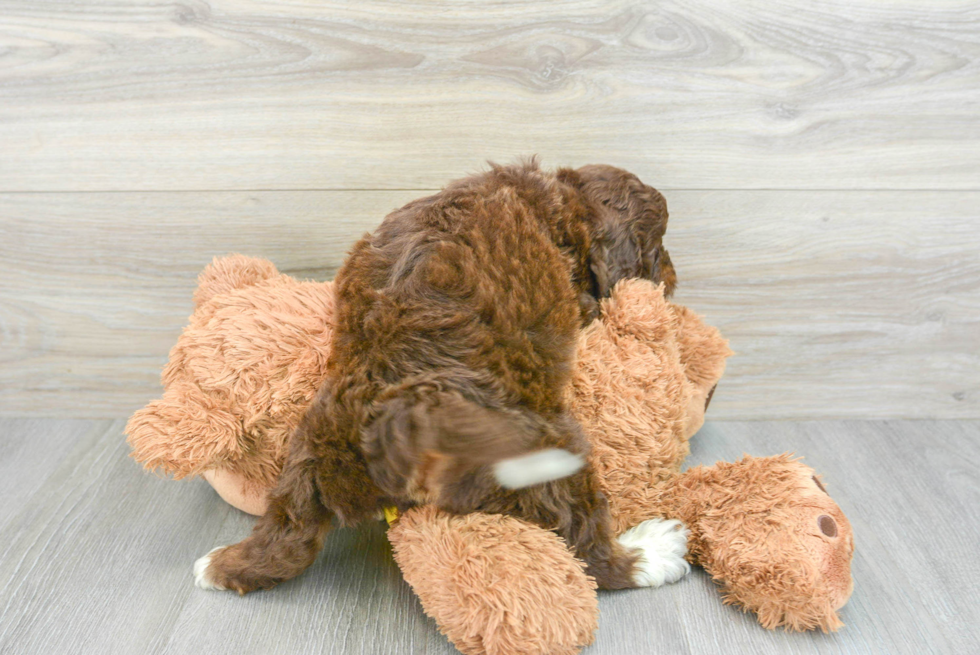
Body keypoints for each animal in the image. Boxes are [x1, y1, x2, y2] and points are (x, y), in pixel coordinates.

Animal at [195, 160, 676, 596]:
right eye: (659, 245)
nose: (671, 280)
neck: (564, 198)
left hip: (307, 457)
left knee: (285, 537)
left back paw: (221, 565)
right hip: (549, 444)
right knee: (585, 540)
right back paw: (650, 553)